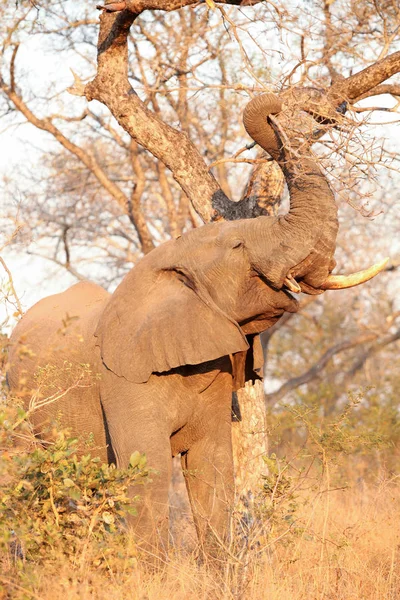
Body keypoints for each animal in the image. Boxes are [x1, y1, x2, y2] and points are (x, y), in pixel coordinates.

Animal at [7, 92, 384, 556]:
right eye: (238, 245)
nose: (275, 107)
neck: (169, 261)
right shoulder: (122, 381)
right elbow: (147, 472)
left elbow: (213, 468)